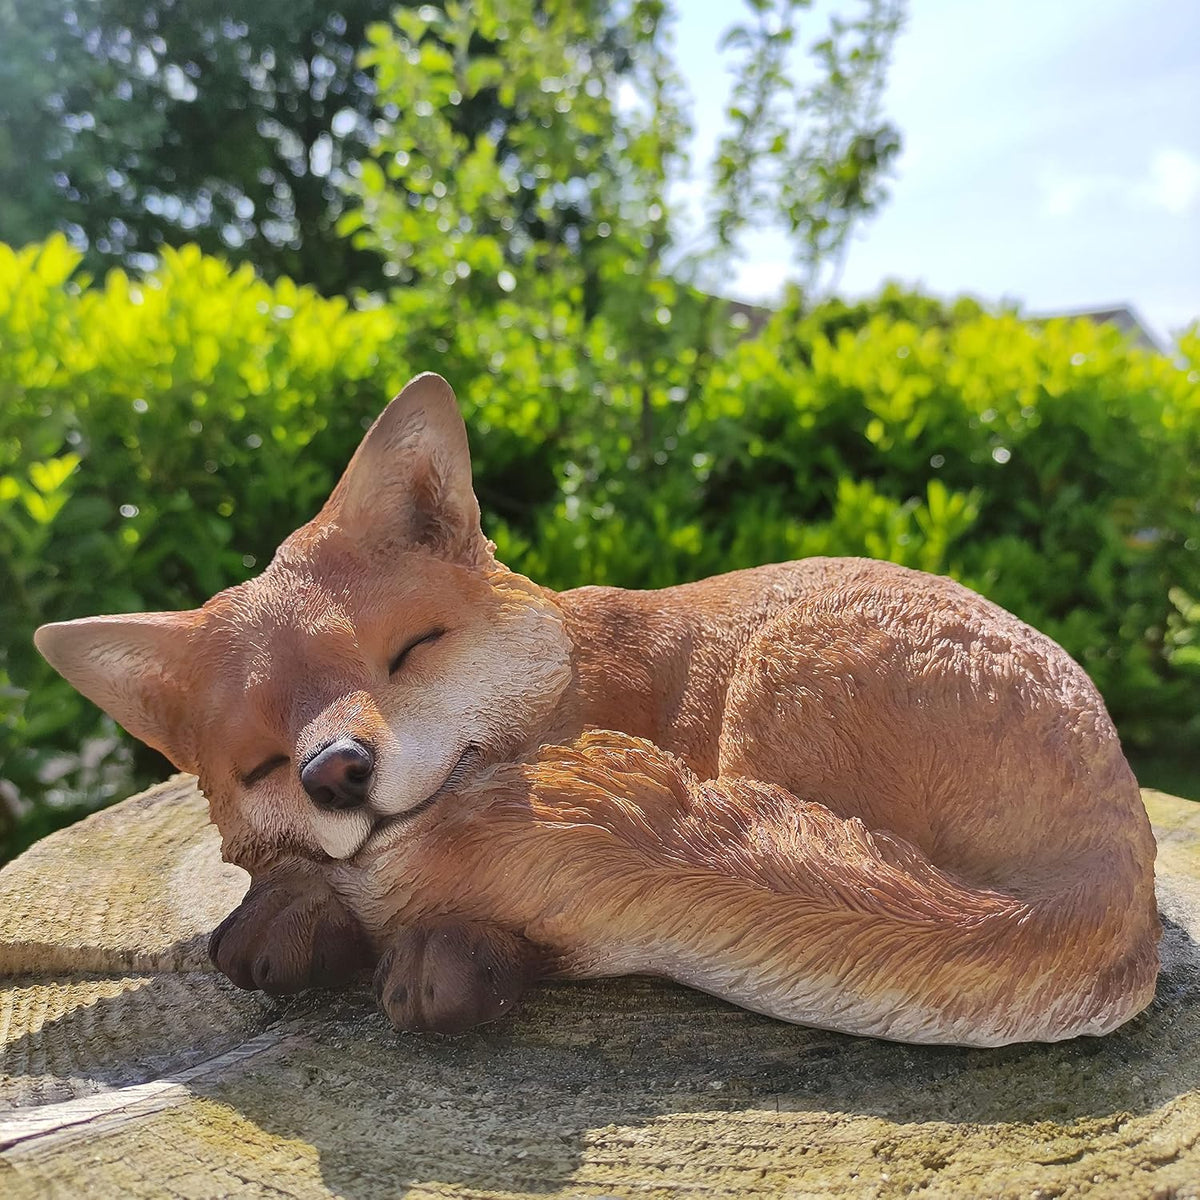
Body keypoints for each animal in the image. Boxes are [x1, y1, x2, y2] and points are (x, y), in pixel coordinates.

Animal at [34, 372, 1159, 1046]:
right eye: (263, 759)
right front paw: (298, 918)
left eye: (407, 653)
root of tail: (1115, 865)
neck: (585, 678)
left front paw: (437, 952)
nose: (337, 771)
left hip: (773, 688)